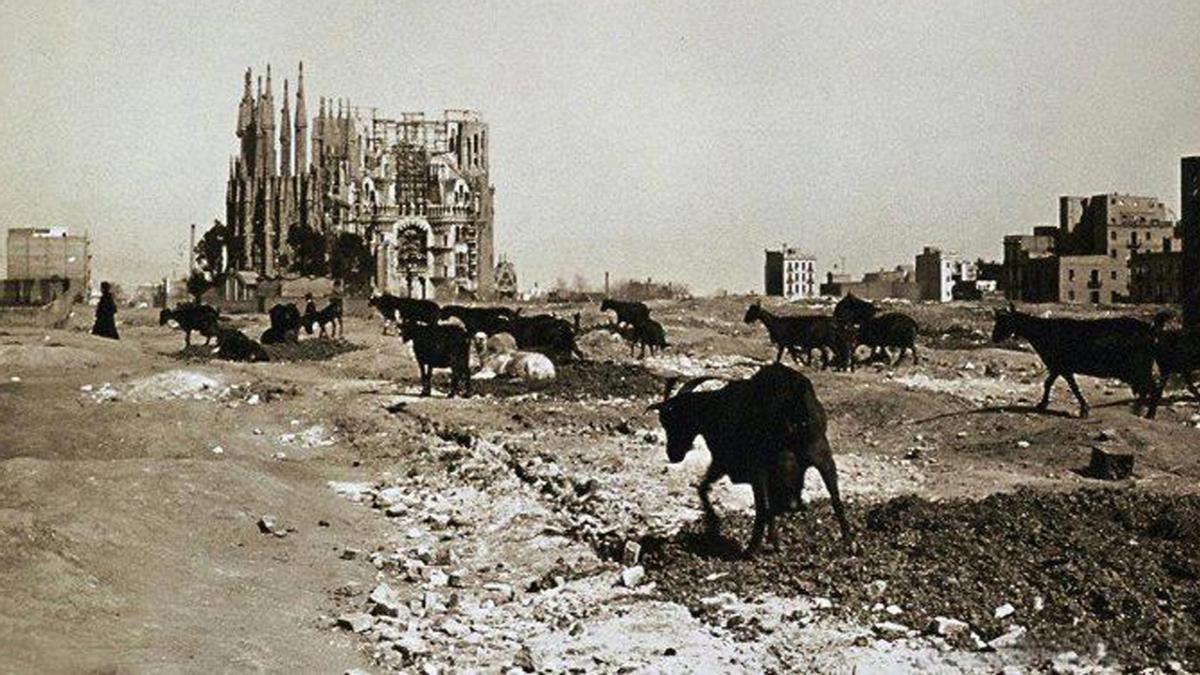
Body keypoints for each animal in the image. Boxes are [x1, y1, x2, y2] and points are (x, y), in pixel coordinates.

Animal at [648, 362, 854, 552]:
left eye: (671, 421)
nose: (673, 454)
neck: (713, 409)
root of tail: (794, 396)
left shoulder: (724, 460)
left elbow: (703, 487)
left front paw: (713, 520)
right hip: (822, 455)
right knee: (835, 498)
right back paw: (848, 542)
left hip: (762, 465)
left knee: (763, 507)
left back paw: (753, 548)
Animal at [988, 303, 1156, 417]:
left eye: (1004, 321)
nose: (994, 337)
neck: (1044, 331)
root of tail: (1148, 329)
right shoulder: (1057, 367)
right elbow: (1049, 383)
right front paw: (1042, 404)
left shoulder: (1062, 366)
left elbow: (1072, 386)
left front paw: (1084, 409)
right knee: (1146, 387)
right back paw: (1140, 410)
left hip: (1139, 365)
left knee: (1151, 386)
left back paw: (1149, 413)